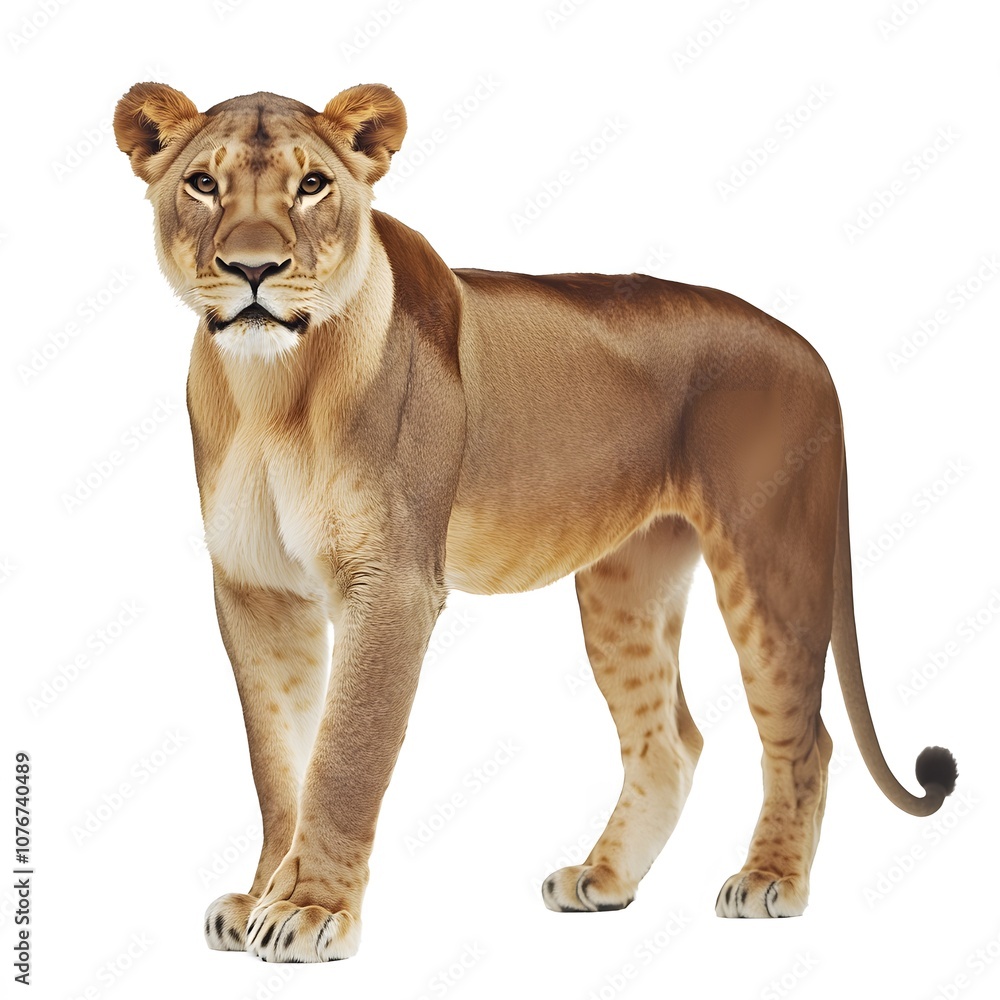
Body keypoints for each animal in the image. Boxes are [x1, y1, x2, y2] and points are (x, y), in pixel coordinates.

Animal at [113, 82, 957, 962]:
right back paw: (603, 879)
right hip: (626, 583)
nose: (253, 269)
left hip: (769, 560)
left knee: (803, 737)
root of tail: (811, 351)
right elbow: (280, 758)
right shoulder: (256, 589)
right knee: (669, 742)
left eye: (312, 185)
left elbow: (344, 755)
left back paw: (769, 881)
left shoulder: (394, 584)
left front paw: (311, 910)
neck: (270, 391)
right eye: (202, 184)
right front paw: (261, 894)